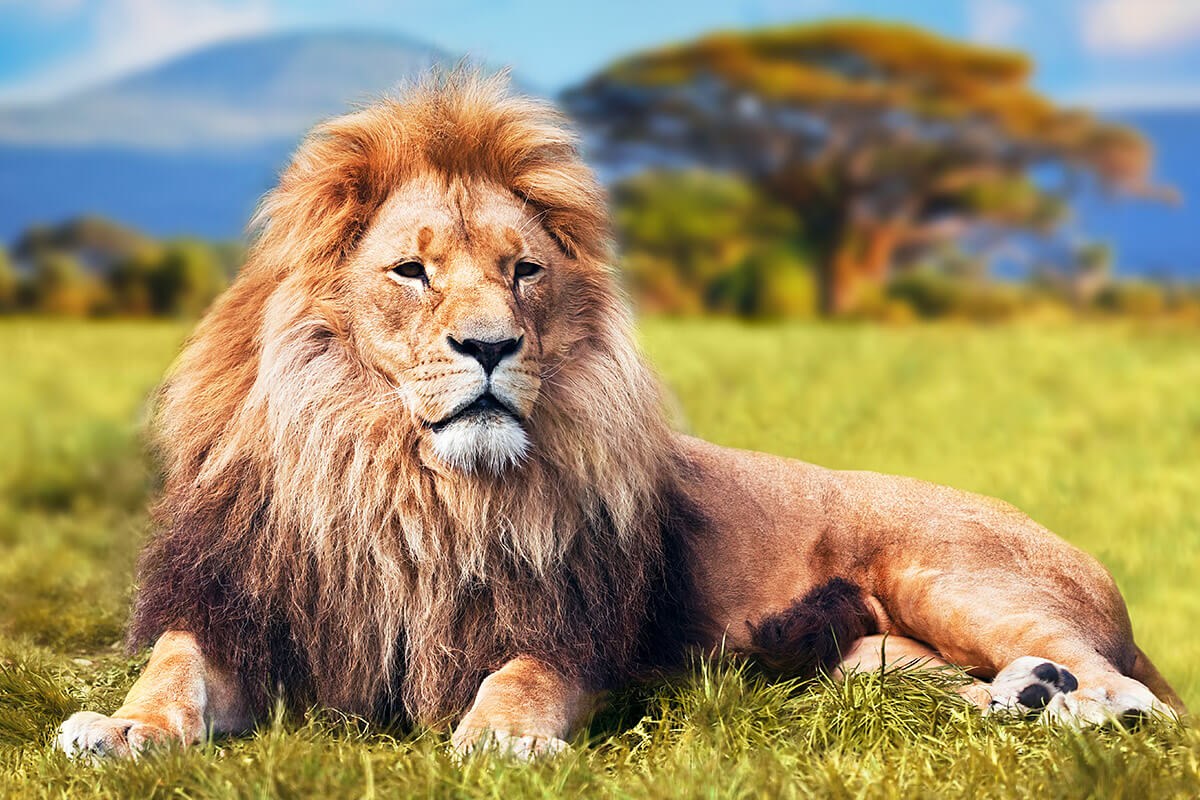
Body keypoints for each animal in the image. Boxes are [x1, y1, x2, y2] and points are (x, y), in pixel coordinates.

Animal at [56, 73, 1184, 760]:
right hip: (867, 656)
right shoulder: (240, 607)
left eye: (522, 271)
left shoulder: (567, 630)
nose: (491, 347)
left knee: (1131, 690)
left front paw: (500, 740)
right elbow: (171, 670)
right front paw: (117, 729)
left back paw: (1076, 703)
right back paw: (1020, 697)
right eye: (412, 272)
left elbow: (519, 679)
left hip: (950, 571)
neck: (406, 485)